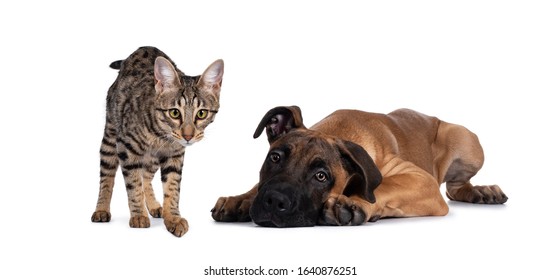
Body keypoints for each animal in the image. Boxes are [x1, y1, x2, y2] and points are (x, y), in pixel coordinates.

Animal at [91, 46, 223, 236]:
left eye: (201, 113)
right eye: (174, 112)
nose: (188, 136)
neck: (161, 135)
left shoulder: (175, 155)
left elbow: (172, 187)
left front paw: (173, 217)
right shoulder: (126, 149)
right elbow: (134, 184)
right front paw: (139, 215)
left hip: (152, 159)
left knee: (146, 176)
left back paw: (153, 205)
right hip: (110, 136)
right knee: (106, 176)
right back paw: (101, 209)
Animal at [211, 106, 508, 226]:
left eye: (321, 176)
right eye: (275, 158)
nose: (274, 201)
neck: (337, 131)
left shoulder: (421, 180)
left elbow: (383, 187)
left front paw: (351, 203)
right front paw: (240, 199)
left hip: (465, 141)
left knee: (455, 186)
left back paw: (482, 190)